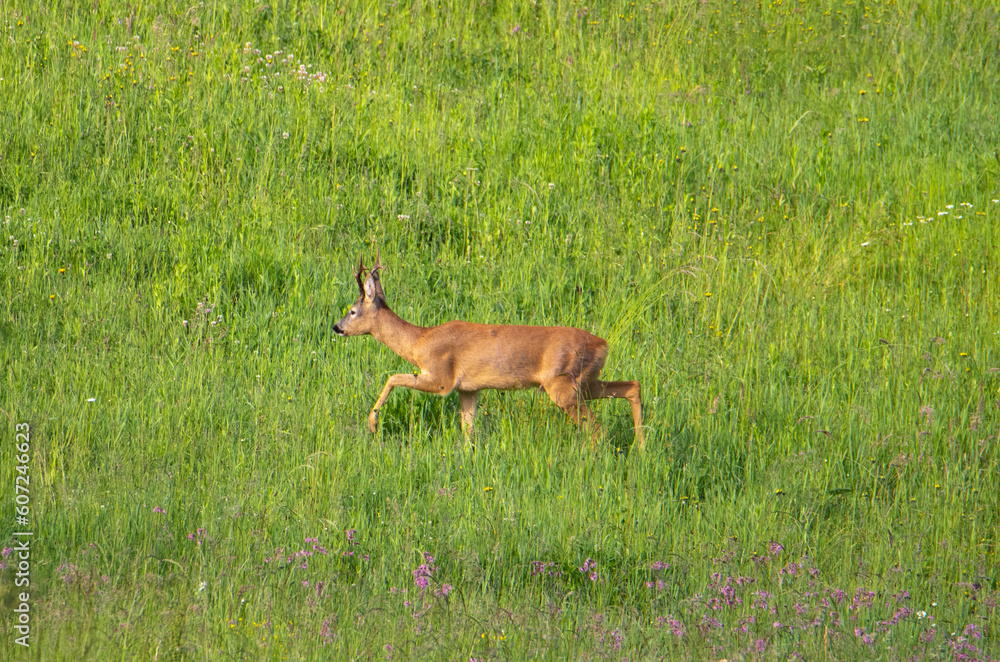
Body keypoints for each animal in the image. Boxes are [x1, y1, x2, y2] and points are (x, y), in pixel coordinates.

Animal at [332, 251, 644, 450]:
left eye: (352, 311)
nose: (336, 327)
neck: (419, 341)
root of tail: (603, 344)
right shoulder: (469, 389)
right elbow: (468, 429)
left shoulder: (442, 378)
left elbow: (393, 377)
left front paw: (372, 423)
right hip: (586, 381)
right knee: (631, 386)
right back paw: (641, 448)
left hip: (563, 385)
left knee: (597, 428)